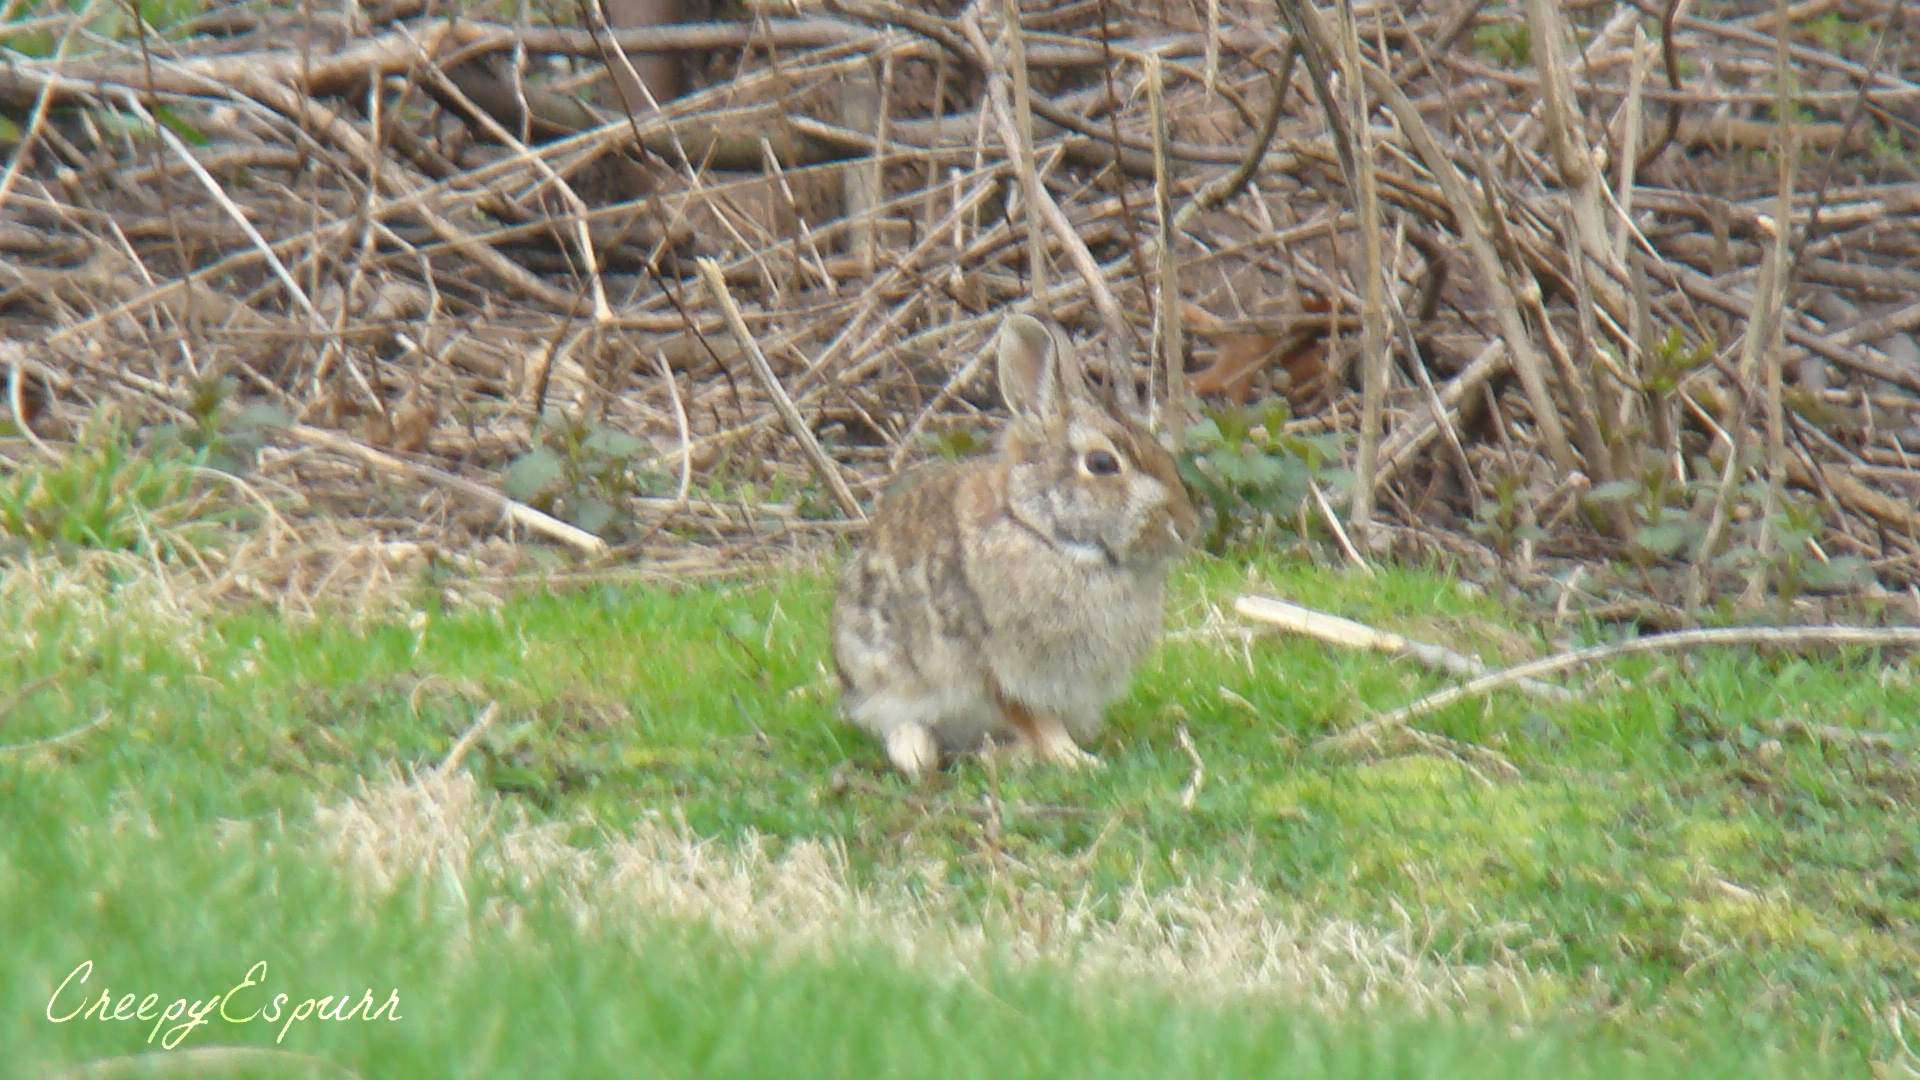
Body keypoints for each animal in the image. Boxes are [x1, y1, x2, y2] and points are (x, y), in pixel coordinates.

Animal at [831, 312, 1199, 780]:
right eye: (1101, 464)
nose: (1185, 527)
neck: (1046, 534)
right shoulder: (1002, 672)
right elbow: (1038, 723)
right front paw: (1077, 761)